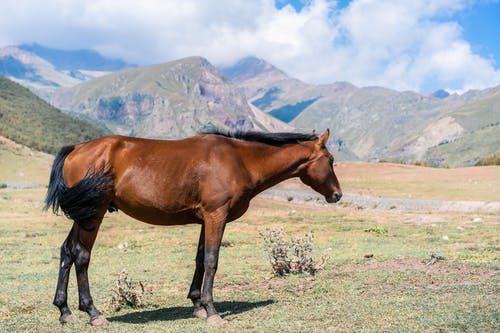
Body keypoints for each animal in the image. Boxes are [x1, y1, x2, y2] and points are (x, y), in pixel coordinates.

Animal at [45, 127, 342, 324]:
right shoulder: (216, 216)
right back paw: (93, 313)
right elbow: (211, 260)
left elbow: (200, 259)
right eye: (331, 160)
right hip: (92, 216)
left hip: (83, 216)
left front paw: (197, 304)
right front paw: (211, 311)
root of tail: (76, 149)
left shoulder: (205, 219)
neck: (240, 159)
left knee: (67, 253)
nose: (337, 195)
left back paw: (65, 311)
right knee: (81, 256)